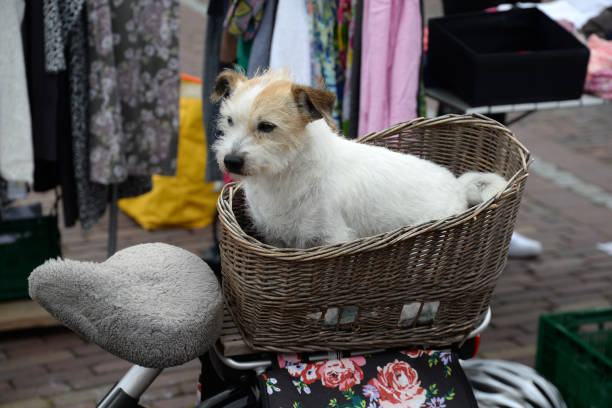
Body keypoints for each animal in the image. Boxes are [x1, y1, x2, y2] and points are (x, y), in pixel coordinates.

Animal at [212, 69, 506, 249]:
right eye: (229, 121)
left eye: (267, 126)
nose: (231, 161)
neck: (287, 176)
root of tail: (457, 185)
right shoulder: (277, 241)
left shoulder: (332, 238)